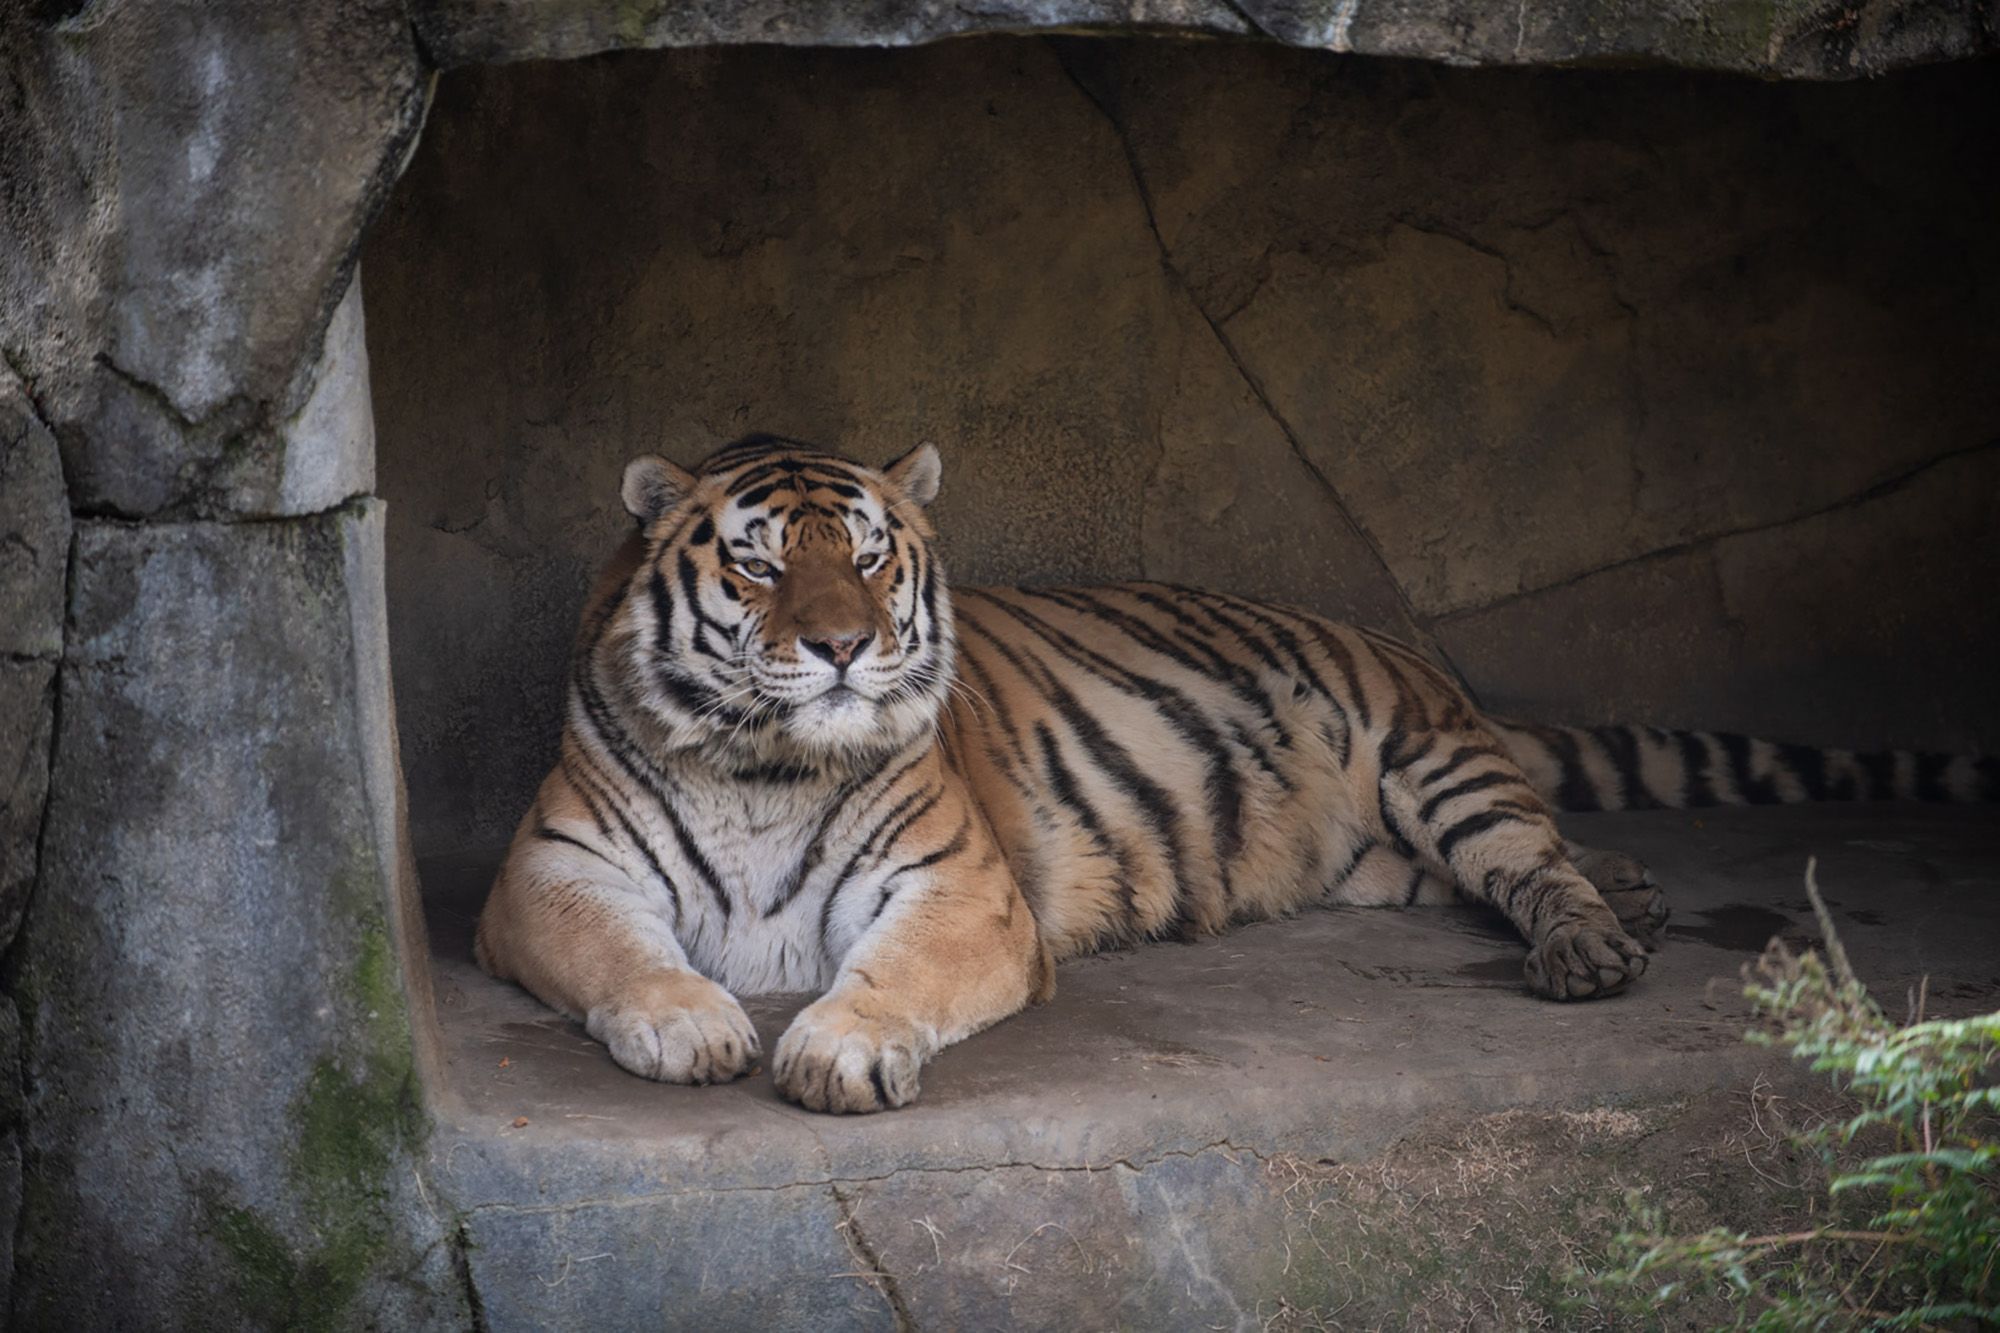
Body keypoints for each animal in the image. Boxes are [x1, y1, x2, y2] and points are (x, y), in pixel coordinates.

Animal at [472, 436, 2000, 1112]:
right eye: (755, 564)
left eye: (866, 553)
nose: (843, 647)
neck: (768, 763)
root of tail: (1396, 644)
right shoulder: (550, 872)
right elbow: (622, 954)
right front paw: (690, 1023)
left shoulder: (960, 889)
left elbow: (889, 976)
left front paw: (835, 1046)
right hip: (1384, 856)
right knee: (1526, 859)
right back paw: (1634, 897)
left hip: (1435, 764)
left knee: (1531, 859)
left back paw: (1592, 946)